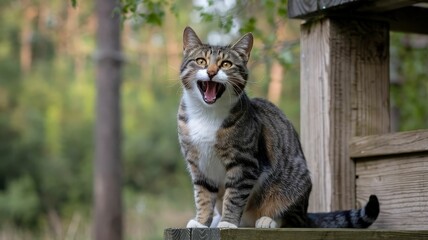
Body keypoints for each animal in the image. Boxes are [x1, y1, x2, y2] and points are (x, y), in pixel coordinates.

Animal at [176, 26, 378, 229]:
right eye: (201, 61)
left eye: (226, 64)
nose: (211, 72)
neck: (207, 114)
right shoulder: (198, 165)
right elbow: (203, 196)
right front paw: (201, 222)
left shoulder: (245, 163)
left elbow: (234, 196)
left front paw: (228, 223)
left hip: (292, 186)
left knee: (293, 219)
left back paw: (267, 220)